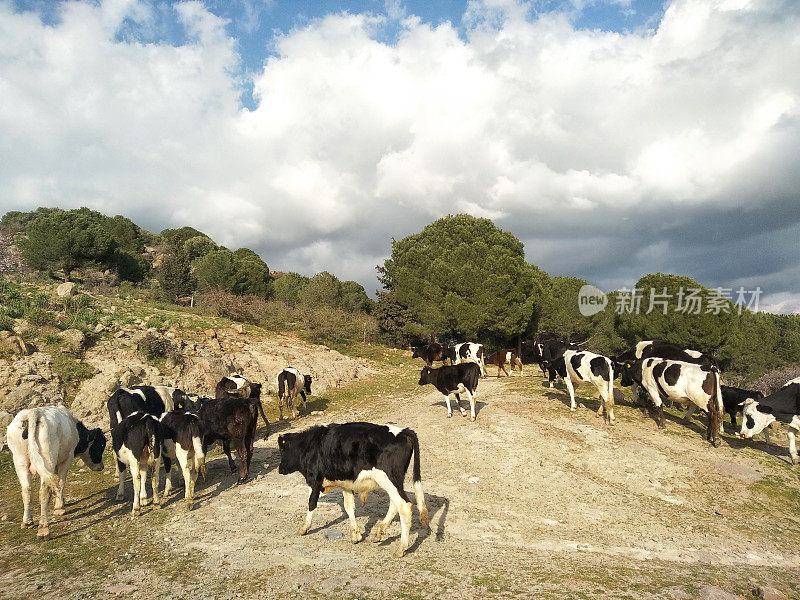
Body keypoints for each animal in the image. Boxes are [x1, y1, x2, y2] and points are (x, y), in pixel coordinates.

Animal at [7, 406, 106, 536]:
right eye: (100, 445)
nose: (101, 466)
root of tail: (33, 412)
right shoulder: (67, 459)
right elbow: (61, 482)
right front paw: (59, 507)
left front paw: (60, 501)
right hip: (47, 459)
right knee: (44, 491)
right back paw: (44, 528)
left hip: (20, 460)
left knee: (27, 489)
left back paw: (27, 521)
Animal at [278, 422, 428, 556]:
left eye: (282, 450)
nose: (280, 469)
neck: (310, 445)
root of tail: (403, 431)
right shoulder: (346, 484)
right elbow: (349, 507)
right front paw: (356, 535)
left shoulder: (314, 479)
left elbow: (311, 503)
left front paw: (304, 528)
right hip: (393, 482)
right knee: (394, 504)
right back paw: (379, 533)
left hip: (388, 478)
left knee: (404, 506)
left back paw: (401, 548)